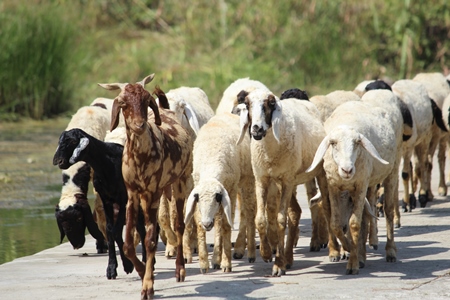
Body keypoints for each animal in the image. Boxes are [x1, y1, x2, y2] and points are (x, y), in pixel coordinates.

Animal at [184, 112, 256, 272]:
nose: (207, 223)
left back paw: (250, 254)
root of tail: (227, 113)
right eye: (198, 199)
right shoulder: (198, 185)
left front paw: (226, 263)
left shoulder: (231, 190)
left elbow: (226, 225)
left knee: (249, 213)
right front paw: (204, 263)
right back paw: (216, 258)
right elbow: (200, 224)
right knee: (218, 221)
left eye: (216, 197)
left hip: (247, 179)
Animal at [236, 89, 326, 276]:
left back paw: (337, 252)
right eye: (247, 104)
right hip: (285, 182)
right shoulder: (261, 179)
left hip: (312, 174)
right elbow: (260, 219)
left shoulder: (286, 179)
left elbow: (280, 220)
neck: (270, 151)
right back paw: (289, 259)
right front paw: (266, 253)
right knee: (295, 212)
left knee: (325, 208)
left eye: (270, 104)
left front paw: (278, 264)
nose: (256, 129)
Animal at [308, 89, 402, 274]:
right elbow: (335, 223)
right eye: (333, 143)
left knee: (387, 210)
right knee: (366, 213)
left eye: (357, 143)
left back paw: (390, 251)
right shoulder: (334, 187)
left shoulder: (360, 186)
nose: (347, 170)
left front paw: (353, 263)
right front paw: (349, 248)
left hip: (391, 172)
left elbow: (354, 224)